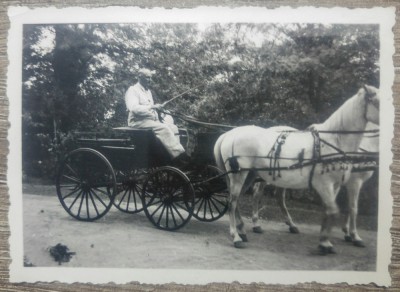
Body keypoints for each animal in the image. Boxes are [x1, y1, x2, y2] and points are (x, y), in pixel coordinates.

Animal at [214, 85, 380, 253]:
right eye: (377, 102)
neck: (334, 141)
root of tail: (229, 134)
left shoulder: (337, 185)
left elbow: (333, 210)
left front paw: (327, 240)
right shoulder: (333, 183)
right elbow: (342, 209)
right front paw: (340, 238)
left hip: (250, 174)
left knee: (242, 199)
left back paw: (244, 230)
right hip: (239, 175)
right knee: (233, 201)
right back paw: (236, 236)